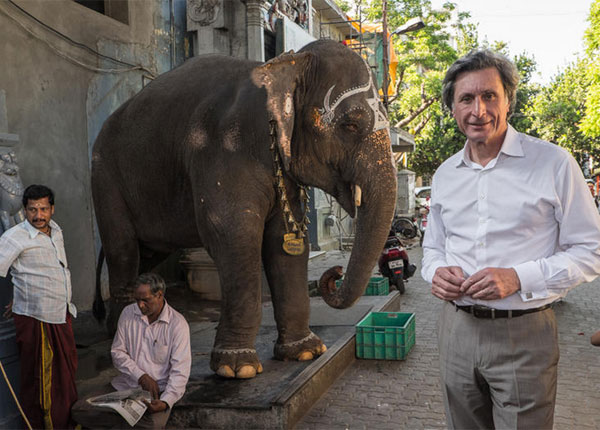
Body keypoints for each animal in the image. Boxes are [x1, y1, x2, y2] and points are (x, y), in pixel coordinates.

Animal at [92, 39, 398, 380]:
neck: (284, 65)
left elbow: (286, 243)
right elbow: (234, 236)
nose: (335, 273)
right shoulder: (223, 147)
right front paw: (237, 369)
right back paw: (117, 338)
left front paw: (305, 352)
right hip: (104, 175)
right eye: (350, 124)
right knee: (122, 249)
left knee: (145, 252)